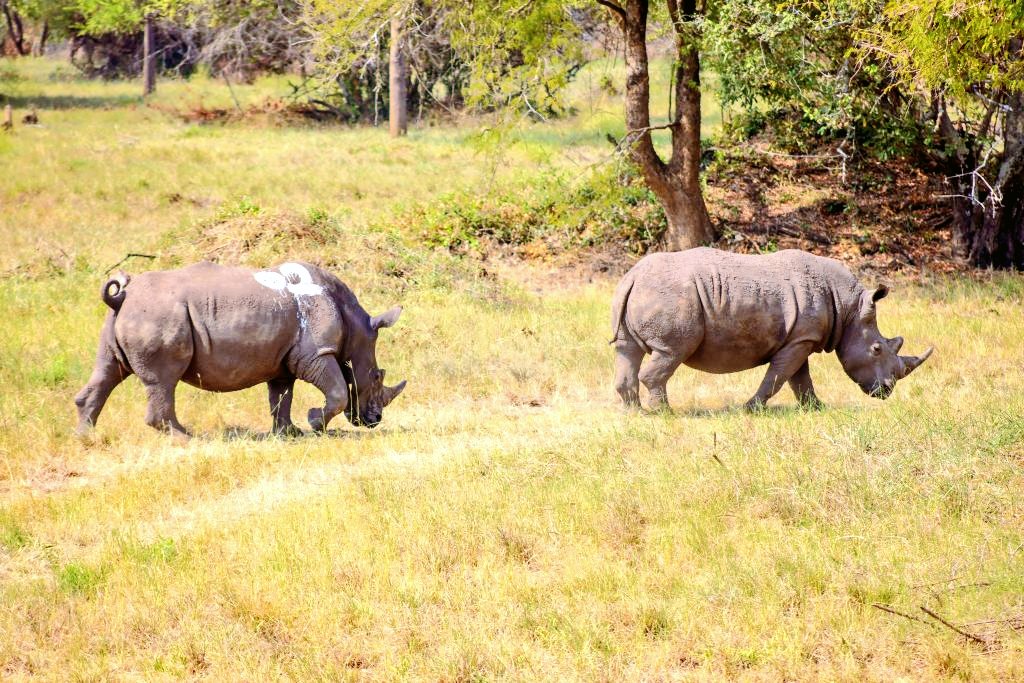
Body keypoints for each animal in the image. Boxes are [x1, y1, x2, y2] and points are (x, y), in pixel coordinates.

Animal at [75, 261, 407, 439]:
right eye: (376, 377)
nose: (374, 420)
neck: (355, 324)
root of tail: (123, 295)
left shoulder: (284, 358)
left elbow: (281, 397)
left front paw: (289, 433)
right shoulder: (316, 354)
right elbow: (337, 392)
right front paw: (314, 423)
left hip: (125, 318)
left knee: (108, 371)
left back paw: (86, 438)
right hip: (158, 315)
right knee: (163, 381)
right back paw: (186, 438)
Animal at [610, 248, 933, 410]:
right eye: (877, 349)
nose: (886, 391)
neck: (849, 309)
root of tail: (633, 276)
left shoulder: (801, 338)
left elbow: (800, 378)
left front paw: (816, 409)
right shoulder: (799, 339)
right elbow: (779, 376)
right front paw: (751, 409)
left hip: (643, 291)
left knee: (627, 350)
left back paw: (635, 412)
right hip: (673, 297)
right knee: (672, 351)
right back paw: (664, 413)